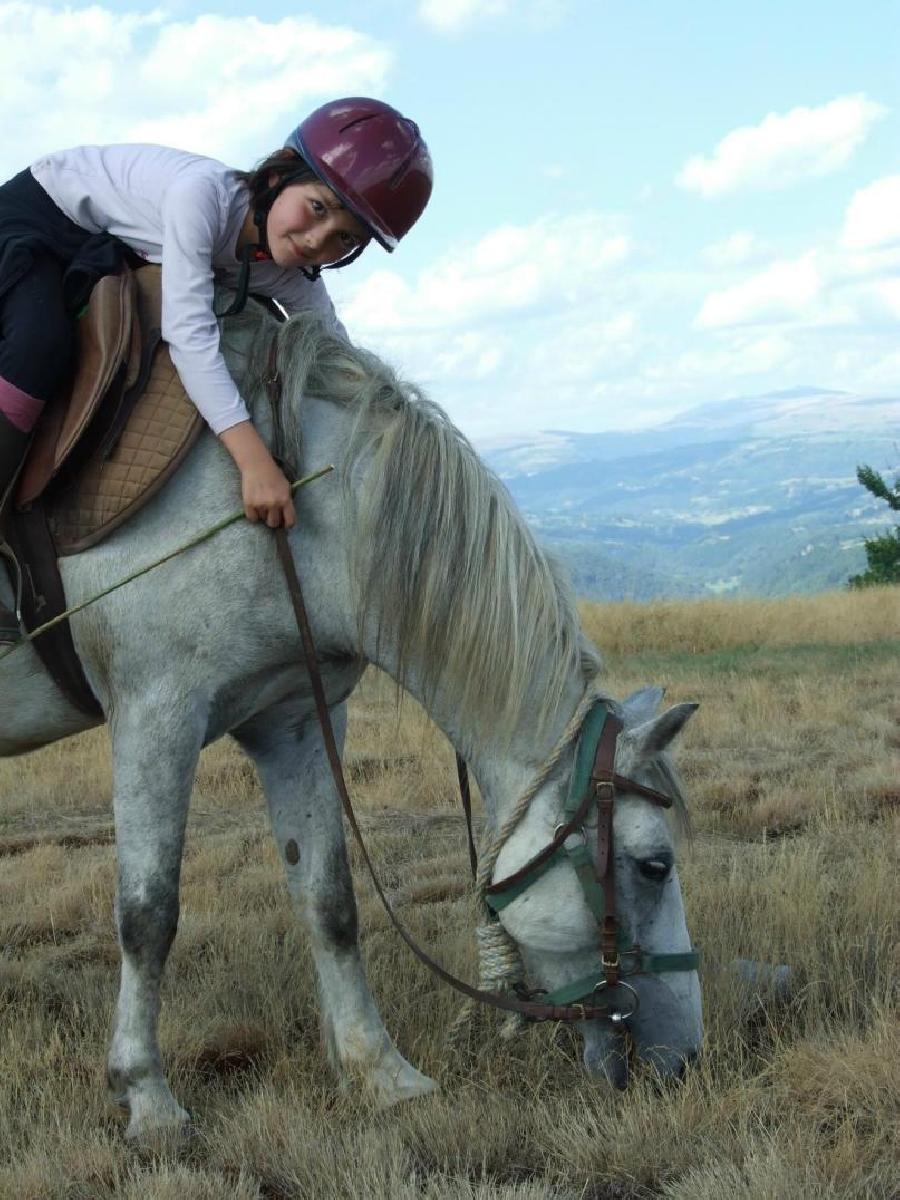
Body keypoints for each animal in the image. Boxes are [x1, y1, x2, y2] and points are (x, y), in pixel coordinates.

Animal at [0, 304, 705, 1137]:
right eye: (654, 865)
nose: (684, 1059)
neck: (288, 507)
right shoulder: (155, 716)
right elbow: (148, 915)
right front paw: (148, 1095)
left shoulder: (296, 720)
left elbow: (329, 901)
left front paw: (379, 1071)